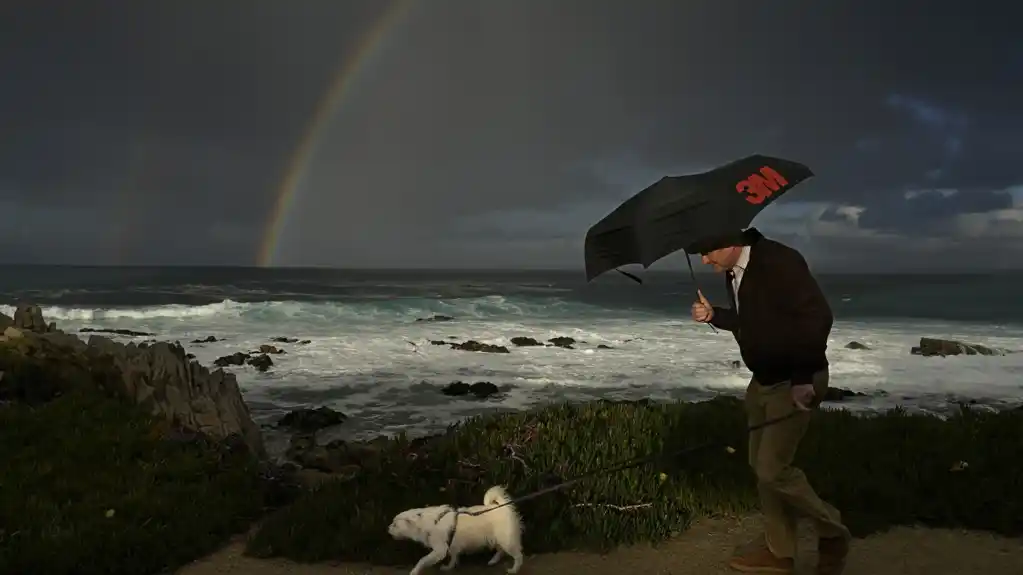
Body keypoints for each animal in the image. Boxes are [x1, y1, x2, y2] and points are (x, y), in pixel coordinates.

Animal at [386, 482, 523, 572]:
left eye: (395, 524)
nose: (387, 529)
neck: (427, 522)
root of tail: (502, 506)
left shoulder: (440, 549)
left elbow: (422, 560)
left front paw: (414, 571)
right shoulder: (452, 546)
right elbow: (453, 557)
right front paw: (449, 567)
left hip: (506, 540)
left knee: (518, 555)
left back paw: (514, 569)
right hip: (497, 539)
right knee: (500, 550)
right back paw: (493, 561)